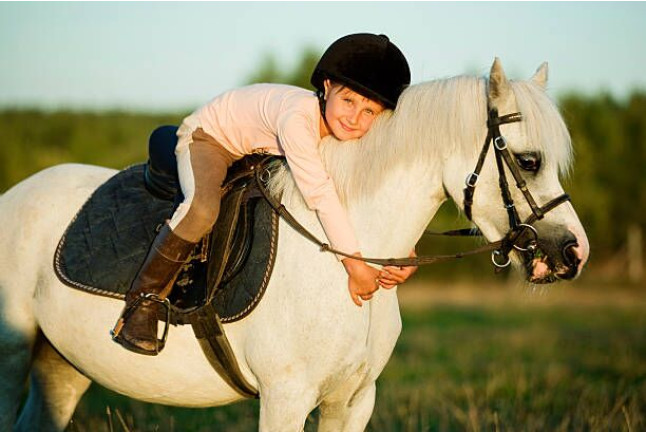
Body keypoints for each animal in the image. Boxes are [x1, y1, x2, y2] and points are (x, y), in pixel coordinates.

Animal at [0, 59, 589, 431]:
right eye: (529, 160)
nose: (572, 253)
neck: (340, 257)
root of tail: (16, 194)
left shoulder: (352, 401)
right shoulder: (285, 400)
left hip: (63, 365)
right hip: (13, 354)